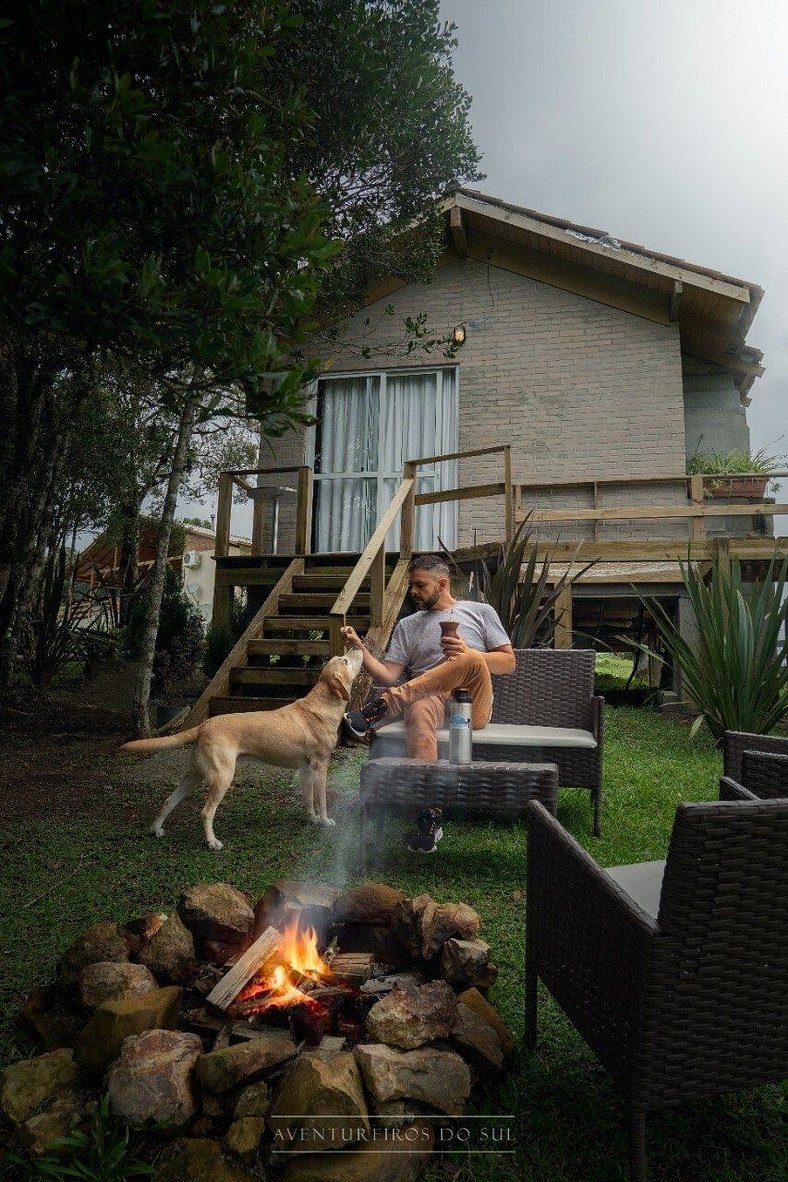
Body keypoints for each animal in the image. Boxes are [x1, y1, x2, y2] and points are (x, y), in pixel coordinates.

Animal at [121, 647, 363, 851]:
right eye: (345, 660)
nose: (356, 646)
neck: (324, 702)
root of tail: (204, 725)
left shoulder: (305, 769)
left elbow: (308, 799)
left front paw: (312, 820)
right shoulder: (320, 766)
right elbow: (321, 800)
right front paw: (325, 822)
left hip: (194, 775)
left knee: (168, 801)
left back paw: (156, 829)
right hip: (222, 776)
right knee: (206, 812)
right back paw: (212, 842)